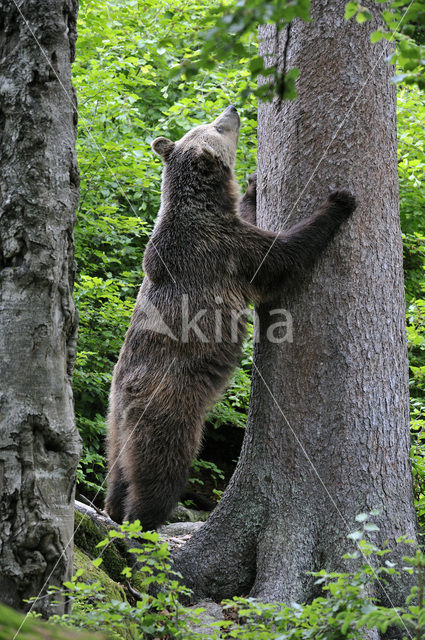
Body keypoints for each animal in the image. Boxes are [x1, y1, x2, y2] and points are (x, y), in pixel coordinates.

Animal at [104, 106, 356, 528]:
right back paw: (145, 518)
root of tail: (126, 396)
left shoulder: (225, 236)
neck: (201, 208)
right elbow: (283, 257)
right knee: (161, 462)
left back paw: (114, 506)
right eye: (218, 127)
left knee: (117, 463)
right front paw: (339, 202)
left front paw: (253, 186)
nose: (235, 109)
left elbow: (253, 219)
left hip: (115, 416)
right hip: (170, 402)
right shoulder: (224, 252)